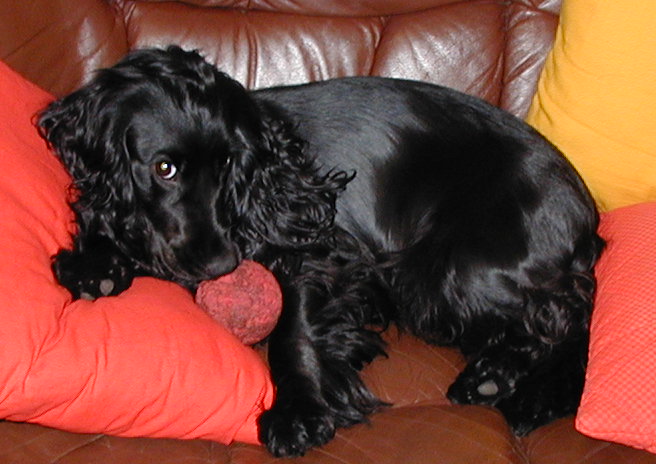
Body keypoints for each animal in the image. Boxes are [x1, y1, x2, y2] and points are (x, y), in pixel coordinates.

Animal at [39, 45, 604, 458]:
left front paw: (299, 414)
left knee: (572, 319)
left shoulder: (316, 248)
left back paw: (523, 393)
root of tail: (584, 202)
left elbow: (294, 331)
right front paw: (93, 265)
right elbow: (102, 222)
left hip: (448, 272)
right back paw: (493, 378)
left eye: (228, 164)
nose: (223, 266)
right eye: (164, 169)